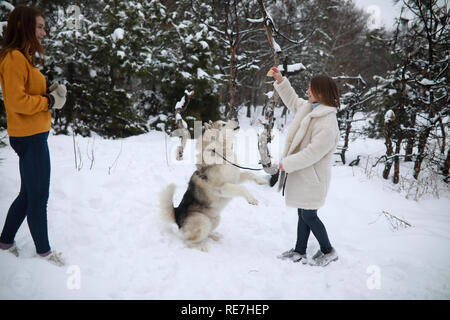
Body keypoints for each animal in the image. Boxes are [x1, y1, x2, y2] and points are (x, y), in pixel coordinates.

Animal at [159, 119, 268, 250]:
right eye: (223, 124)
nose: (236, 119)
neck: (222, 153)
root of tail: (176, 215)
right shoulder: (222, 188)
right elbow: (242, 188)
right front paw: (252, 199)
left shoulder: (235, 178)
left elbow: (249, 173)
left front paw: (261, 181)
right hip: (203, 221)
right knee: (188, 242)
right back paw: (201, 248)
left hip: (216, 219)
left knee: (207, 233)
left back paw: (215, 236)